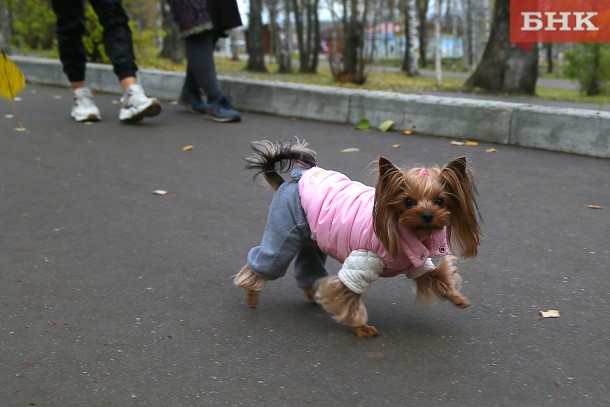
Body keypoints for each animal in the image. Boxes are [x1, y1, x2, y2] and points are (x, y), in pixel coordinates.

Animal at [233, 140, 480, 338]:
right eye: (408, 202)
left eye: (440, 201)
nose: (428, 215)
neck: (406, 232)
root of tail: (287, 182)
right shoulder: (362, 262)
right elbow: (349, 296)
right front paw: (361, 328)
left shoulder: (418, 264)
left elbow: (438, 277)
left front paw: (459, 299)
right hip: (285, 229)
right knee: (268, 260)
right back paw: (252, 295)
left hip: (312, 240)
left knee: (308, 263)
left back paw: (313, 292)